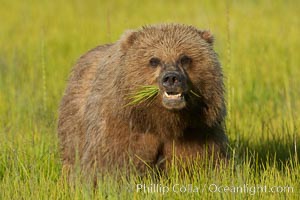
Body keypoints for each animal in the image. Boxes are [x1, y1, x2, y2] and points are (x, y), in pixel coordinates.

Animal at [57, 23, 229, 178]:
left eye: (185, 58)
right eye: (154, 60)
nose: (171, 78)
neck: (161, 120)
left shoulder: (198, 130)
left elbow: (200, 162)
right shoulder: (122, 128)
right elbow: (110, 165)